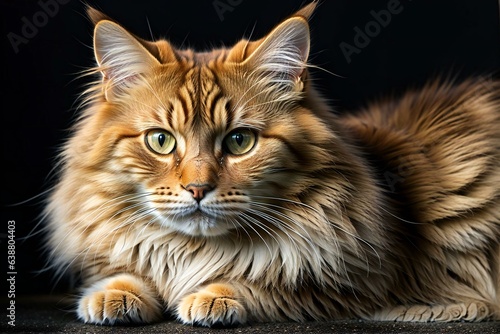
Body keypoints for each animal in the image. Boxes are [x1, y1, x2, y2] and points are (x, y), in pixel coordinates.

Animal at [45, 1, 498, 328]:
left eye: (239, 141)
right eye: (161, 140)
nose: (197, 189)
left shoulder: (360, 282)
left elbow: (268, 284)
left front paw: (214, 295)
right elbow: (126, 269)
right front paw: (114, 293)